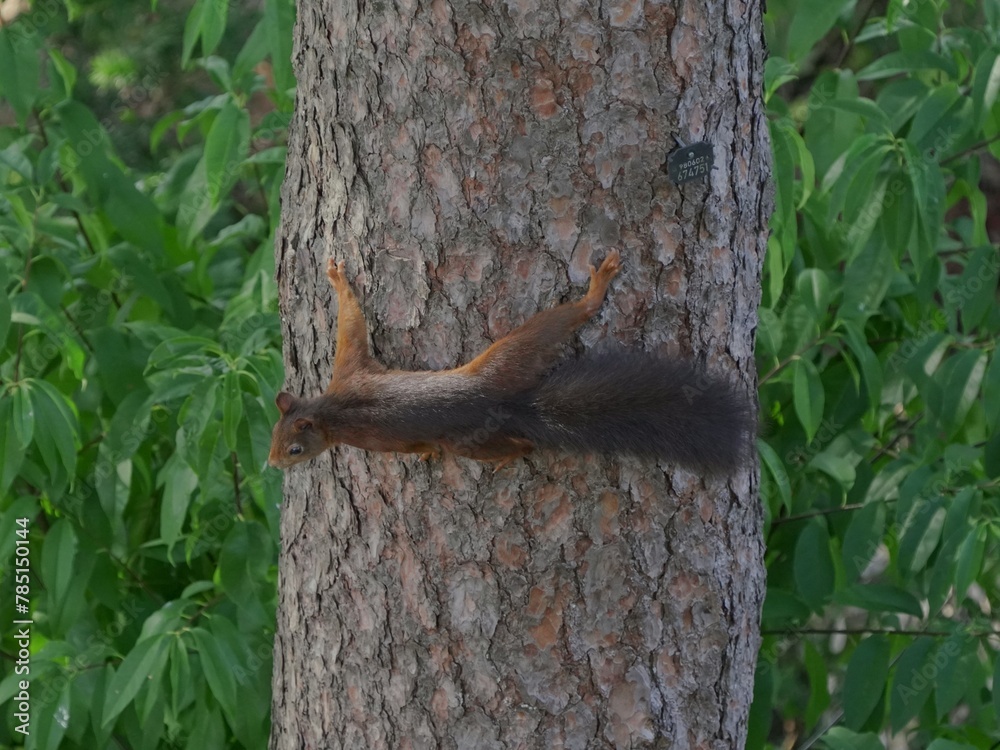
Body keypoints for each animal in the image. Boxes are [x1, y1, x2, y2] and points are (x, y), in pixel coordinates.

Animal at [268, 251, 756, 472]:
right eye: (273, 437)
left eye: (295, 450)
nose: (273, 466)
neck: (330, 410)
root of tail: (503, 404)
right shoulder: (350, 374)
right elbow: (353, 325)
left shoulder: (357, 401)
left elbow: (351, 327)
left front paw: (424, 453)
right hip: (514, 356)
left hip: (471, 437)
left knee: (522, 445)